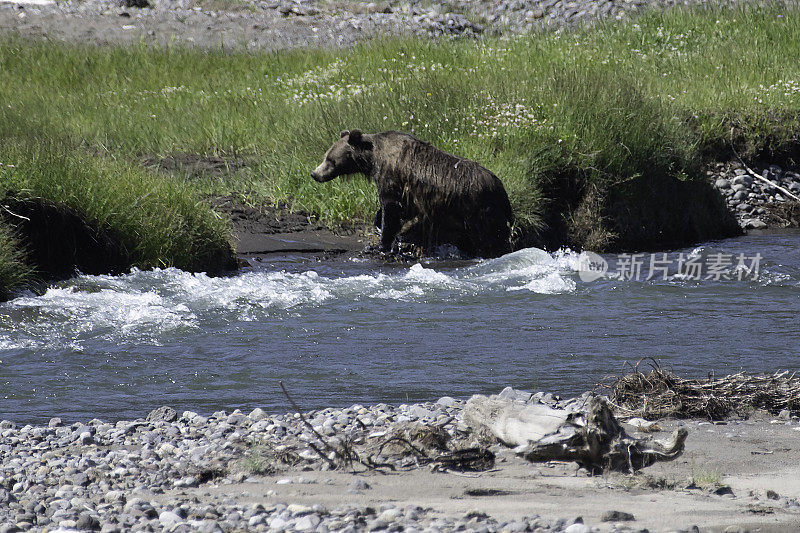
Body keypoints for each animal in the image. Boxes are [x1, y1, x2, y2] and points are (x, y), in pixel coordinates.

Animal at [310, 129, 516, 258]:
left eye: (331, 160)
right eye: (325, 156)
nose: (314, 174)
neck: (373, 160)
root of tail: (501, 188)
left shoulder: (391, 177)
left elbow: (390, 209)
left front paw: (380, 244)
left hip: (480, 209)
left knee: (492, 237)